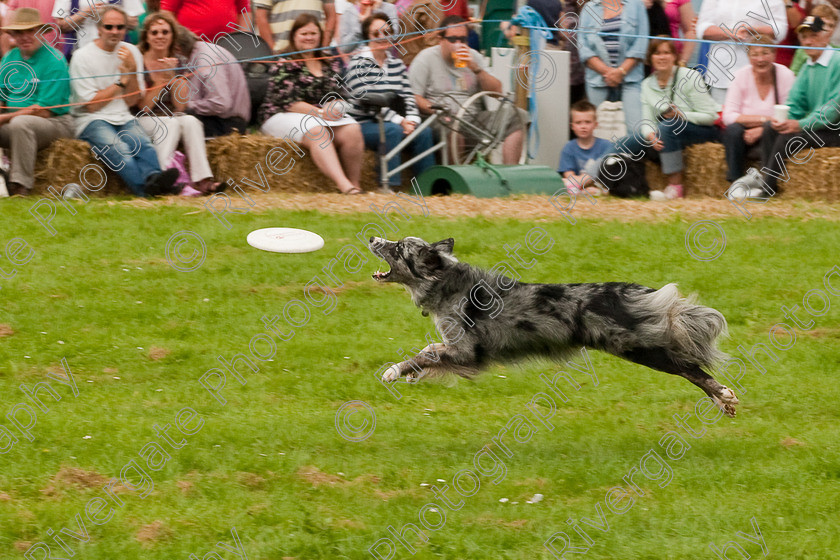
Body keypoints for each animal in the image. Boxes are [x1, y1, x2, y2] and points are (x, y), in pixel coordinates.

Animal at [370, 235, 740, 416]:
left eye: (398, 247)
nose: (372, 236)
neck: (447, 284)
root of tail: (634, 292)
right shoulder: (457, 351)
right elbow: (429, 352)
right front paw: (412, 374)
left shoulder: (466, 352)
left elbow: (424, 353)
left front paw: (394, 371)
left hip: (640, 349)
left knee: (691, 368)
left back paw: (723, 395)